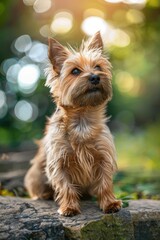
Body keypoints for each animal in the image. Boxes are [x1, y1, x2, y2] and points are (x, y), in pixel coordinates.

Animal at [24, 31, 121, 217]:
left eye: (98, 67)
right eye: (75, 71)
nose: (95, 77)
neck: (82, 119)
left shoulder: (104, 156)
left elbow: (105, 182)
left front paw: (110, 203)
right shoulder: (59, 161)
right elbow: (65, 186)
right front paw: (69, 207)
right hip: (35, 175)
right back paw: (46, 195)